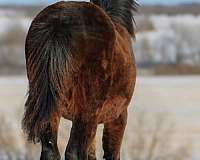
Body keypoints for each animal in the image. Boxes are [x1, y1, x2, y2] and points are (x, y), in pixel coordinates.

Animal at [22, 0, 138, 159]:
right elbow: (111, 153)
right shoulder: (119, 116)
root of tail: (58, 23)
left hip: (50, 109)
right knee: (74, 152)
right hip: (87, 111)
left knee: (50, 150)